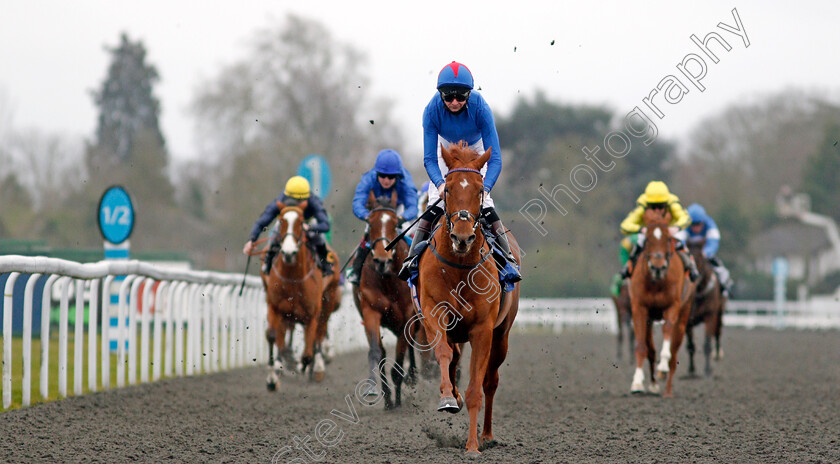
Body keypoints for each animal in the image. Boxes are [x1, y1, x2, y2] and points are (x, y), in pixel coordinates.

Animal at [352, 190, 420, 408]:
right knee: (381, 352)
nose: (382, 261)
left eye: (394, 223)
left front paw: (398, 395)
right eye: (370, 223)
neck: (389, 279)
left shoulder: (407, 317)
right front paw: (379, 392)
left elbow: (399, 359)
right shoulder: (371, 311)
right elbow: (376, 352)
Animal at [684, 239, 724, 376]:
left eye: (701, 258)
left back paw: (717, 355)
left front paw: (707, 370)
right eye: (688, 257)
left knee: (717, 333)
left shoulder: (710, 315)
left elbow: (707, 344)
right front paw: (691, 369)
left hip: (720, 313)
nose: (694, 276)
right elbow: (691, 345)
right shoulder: (688, 319)